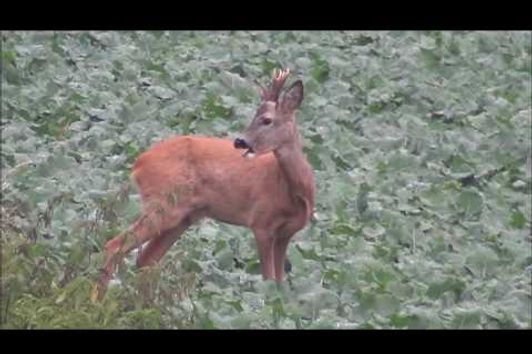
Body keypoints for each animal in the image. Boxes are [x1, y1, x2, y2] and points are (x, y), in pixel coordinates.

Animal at [92, 68, 316, 300]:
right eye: (255, 115)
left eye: (267, 120)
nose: (240, 141)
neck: (296, 193)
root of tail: (138, 163)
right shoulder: (261, 222)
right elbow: (268, 280)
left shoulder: (287, 232)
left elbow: (280, 283)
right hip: (163, 205)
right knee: (114, 245)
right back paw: (98, 299)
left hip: (182, 217)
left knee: (145, 259)